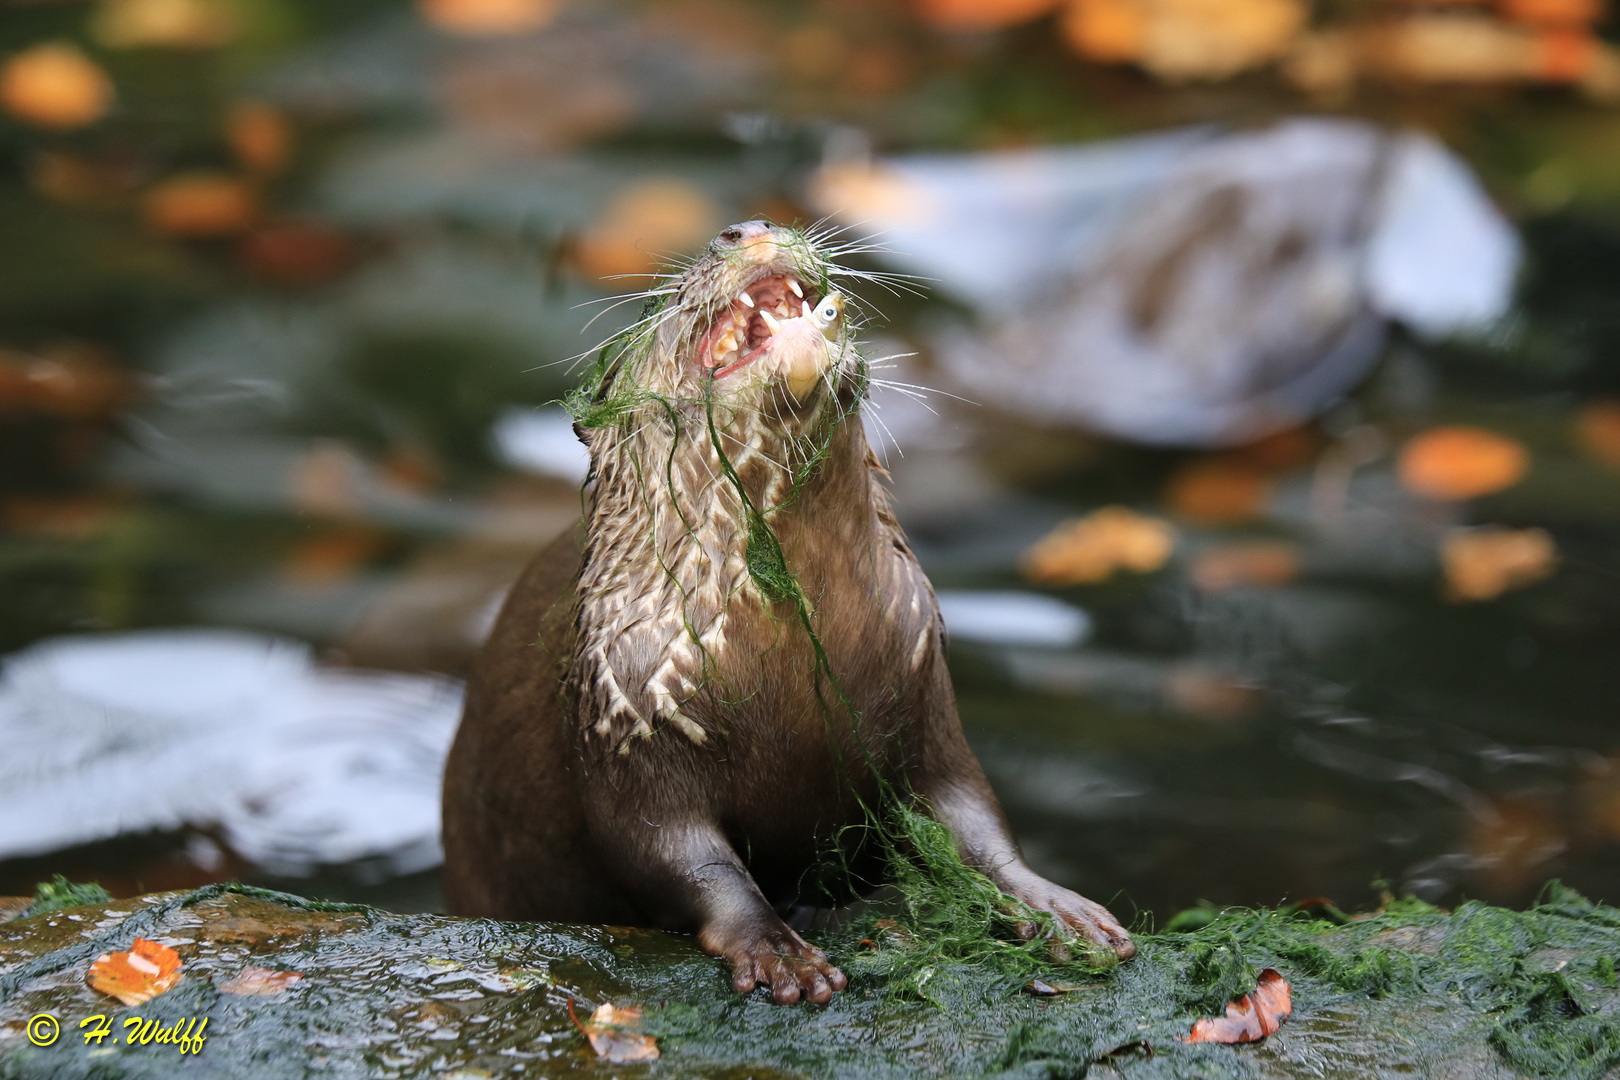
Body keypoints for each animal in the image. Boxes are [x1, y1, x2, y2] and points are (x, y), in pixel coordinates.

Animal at [437, 216, 1134, 1003]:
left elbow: (975, 819)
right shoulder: (623, 712)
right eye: (661, 309)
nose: (749, 227)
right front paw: (778, 951)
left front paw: (1057, 910)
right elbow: (682, 859)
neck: (788, 654)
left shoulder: (924, 683)